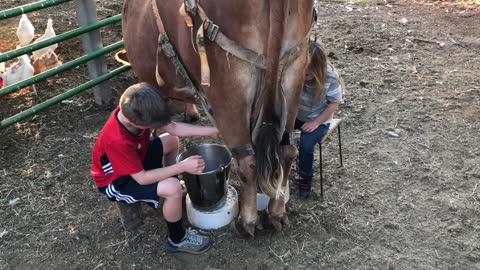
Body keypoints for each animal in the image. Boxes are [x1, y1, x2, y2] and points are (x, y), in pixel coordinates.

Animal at [122, 0, 314, 235]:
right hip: (294, 71)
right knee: (286, 151)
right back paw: (276, 212)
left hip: (228, 86)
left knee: (248, 161)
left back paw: (247, 222)